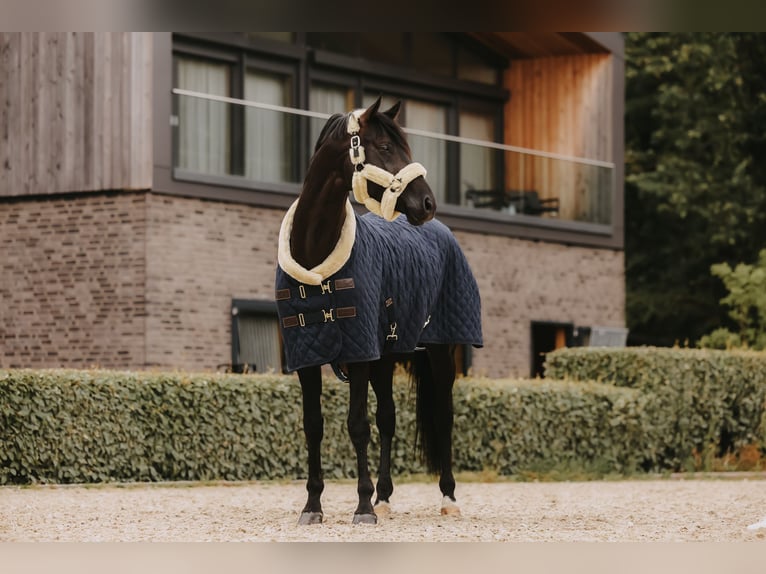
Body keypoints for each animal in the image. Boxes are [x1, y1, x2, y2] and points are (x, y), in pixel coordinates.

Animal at [274, 98, 480, 528]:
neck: (315, 256)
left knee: (444, 415)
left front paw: (362, 508)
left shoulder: (358, 353)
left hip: (440, 350)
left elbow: (357, 425)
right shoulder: (307, 356)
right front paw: (313, 506)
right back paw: (385, 497)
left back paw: (448, 497)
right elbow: (314, 426)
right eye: (384, 147)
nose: (427, 203)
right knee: (389, 418)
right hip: (385, 357)